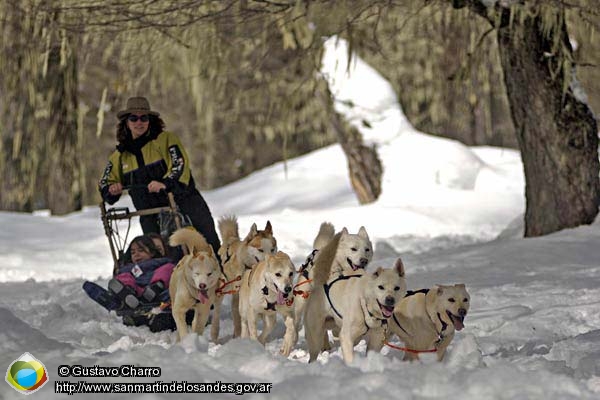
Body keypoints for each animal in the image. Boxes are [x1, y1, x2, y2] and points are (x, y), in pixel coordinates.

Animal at [304, 233, 408, 364]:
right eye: (381, 287)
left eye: (397, 288)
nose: (390, 299)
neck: (366, 306)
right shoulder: (347, 337)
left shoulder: (375, 341)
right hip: (315, 335)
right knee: (313, 354)